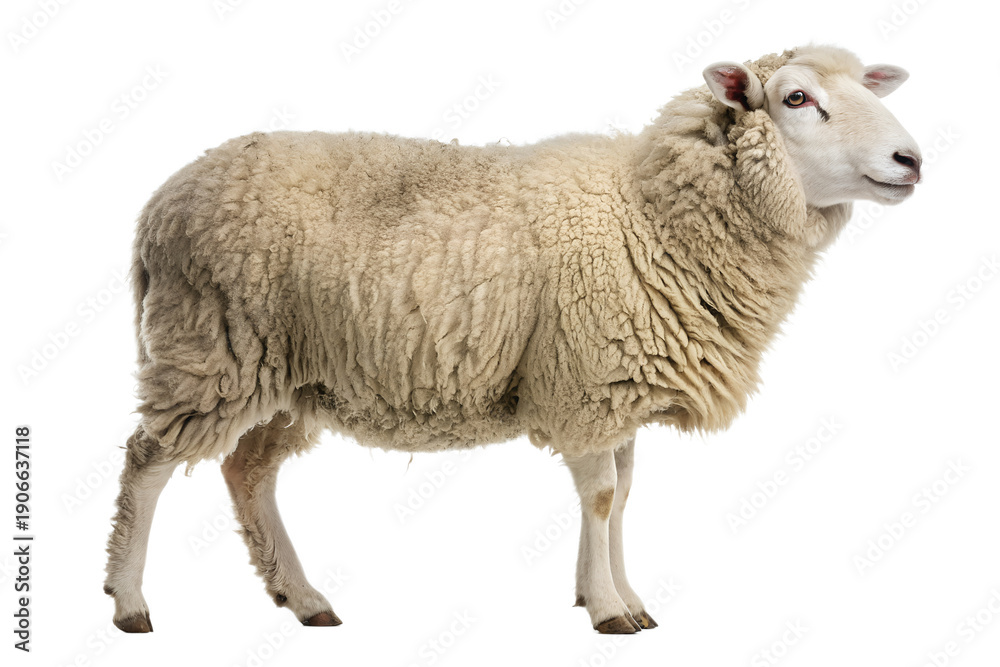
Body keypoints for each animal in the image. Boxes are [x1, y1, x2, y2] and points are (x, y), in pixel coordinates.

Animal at [104, 44, 921, 634]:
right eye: (796, 98)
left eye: (869, 89)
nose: (910, 159)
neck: (649, 215)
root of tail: (157, 207)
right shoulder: (588, 379)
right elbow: (601, 497)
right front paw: (609, 609)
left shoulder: (618, 387)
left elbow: (623, 495)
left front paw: (620, 594)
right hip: (213, 345)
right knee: (148, 462)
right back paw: (130, 601)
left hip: (285, 371)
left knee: (247, 471)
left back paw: (303, 598)